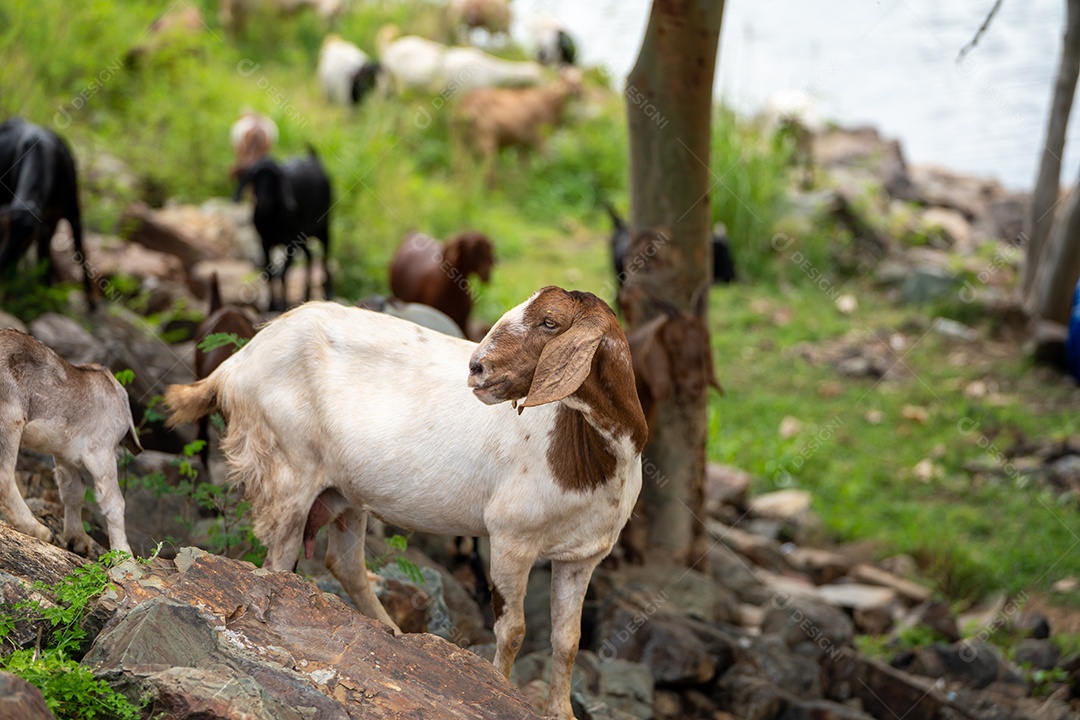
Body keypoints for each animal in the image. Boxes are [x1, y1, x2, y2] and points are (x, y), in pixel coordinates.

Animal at [0, 118, 94, 307]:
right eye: (6, 230)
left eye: (27, 239)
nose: (2, 261)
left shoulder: (73, 212)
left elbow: (80, 249)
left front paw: (91, 300)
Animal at [0, 329, 139, 555]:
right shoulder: (101, 451)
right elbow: (113, 502)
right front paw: (125, 556)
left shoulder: (63, 455)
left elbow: (73, 491)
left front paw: (78, 541)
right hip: (10, 419)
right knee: (4, 475)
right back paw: (40, 531)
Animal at [163, 287, 647, 720]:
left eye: (550, 322)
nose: (477, 368)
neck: (580, 448)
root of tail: (235, 364)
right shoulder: (511, 538)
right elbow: (513, 631)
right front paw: (502, 692)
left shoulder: (583, 555)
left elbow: (568, 640)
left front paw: (562, 712)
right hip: (286, 469)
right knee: (278, 563)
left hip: (344, 491)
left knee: (345, 563)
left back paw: (393, 636)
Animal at [233, 152, 332, 312]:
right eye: (255, 178)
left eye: (275, 179)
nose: (264, 203)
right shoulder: (265, 242)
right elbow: (269, 273)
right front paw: (271, 305)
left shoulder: (289, 243)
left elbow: (284, 273)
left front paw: (283, 305)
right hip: (303, 239)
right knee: (310, 257)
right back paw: (306, 295)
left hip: (324, 229)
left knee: (325, 258)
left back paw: (328, 294)